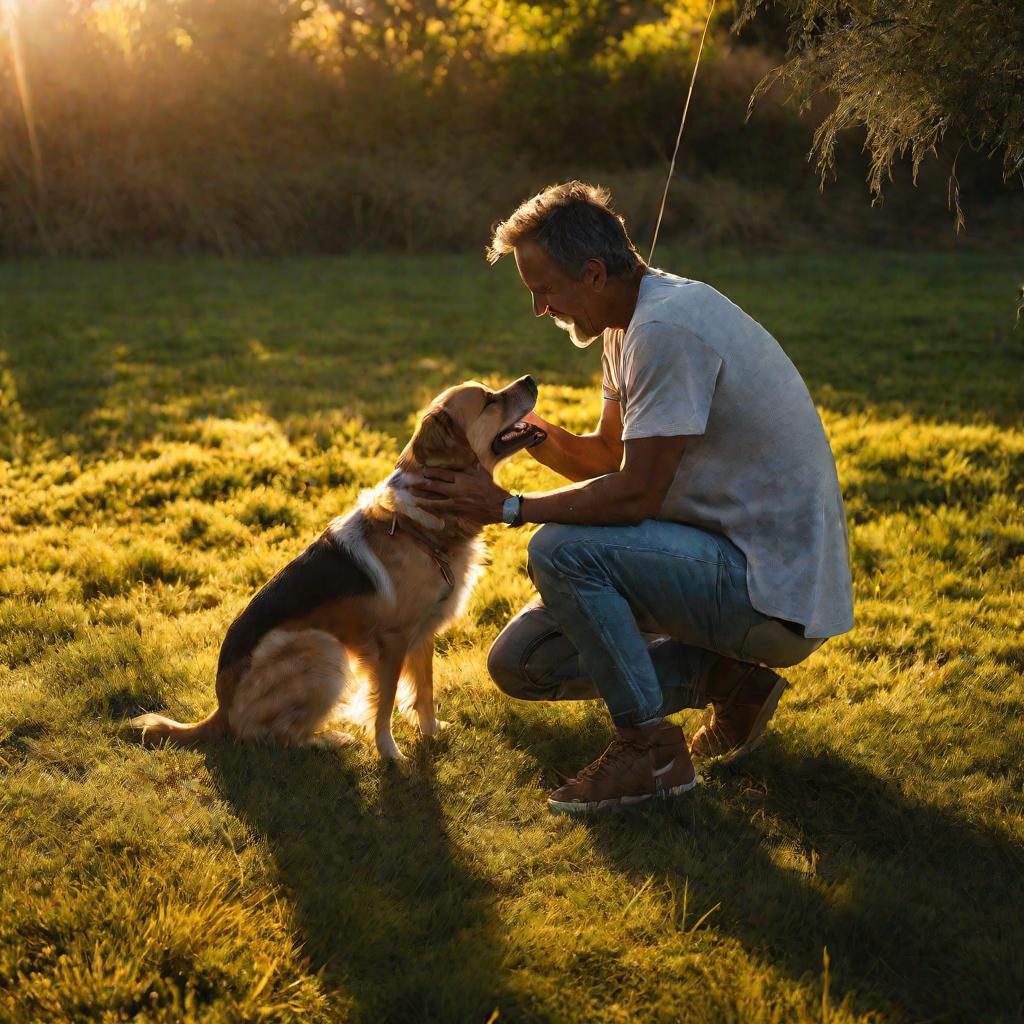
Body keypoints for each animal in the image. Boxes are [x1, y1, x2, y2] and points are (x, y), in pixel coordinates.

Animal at [132, 376, 548, 761]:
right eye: (489, 400)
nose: (531, 381)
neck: (420, 524)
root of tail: (222, 709)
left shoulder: (424, 632)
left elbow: (424, 689)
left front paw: (431, 732)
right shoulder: (392, 641)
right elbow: (384, 704)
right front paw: (390, 754)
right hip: (323, 648)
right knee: (270, 738)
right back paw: (328, 739)